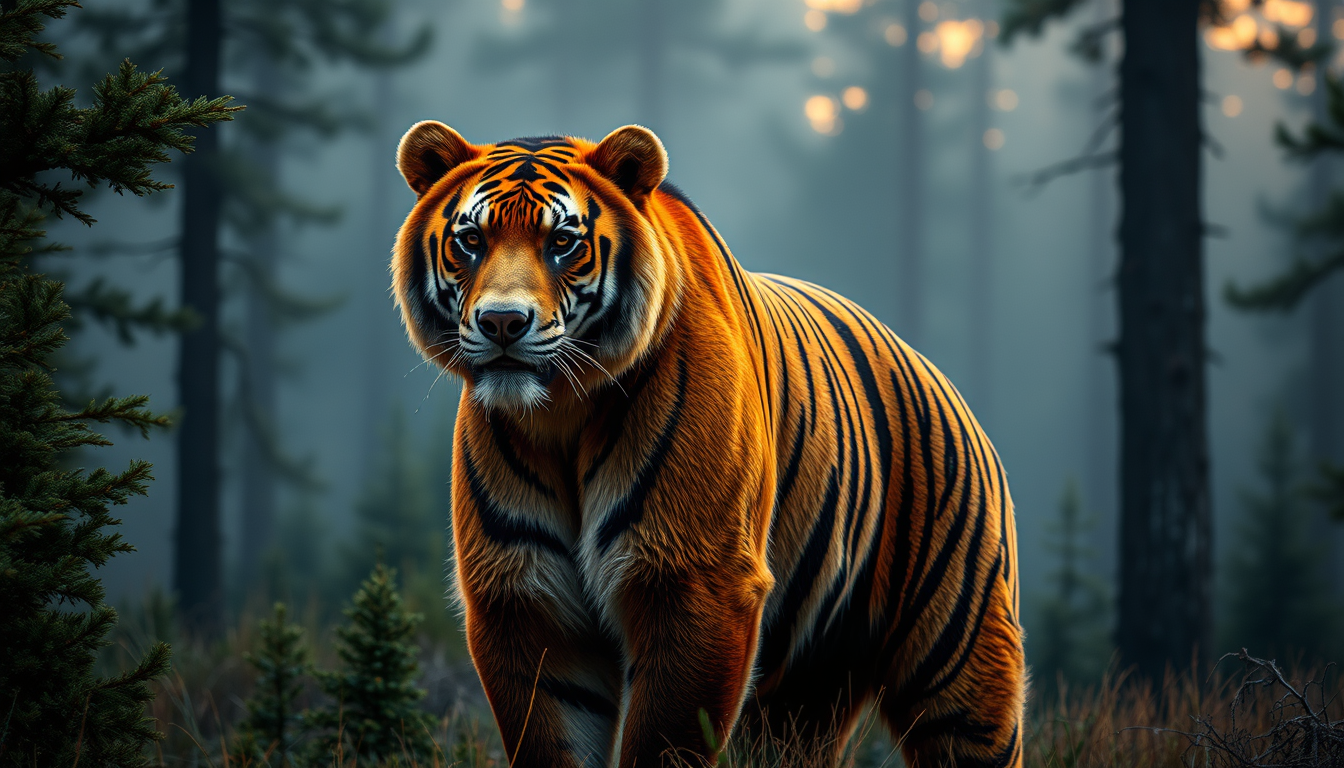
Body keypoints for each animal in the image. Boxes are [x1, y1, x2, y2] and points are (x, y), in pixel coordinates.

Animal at [390, 122, 1025, 768]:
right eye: (470, 241)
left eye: (563, 243)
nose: (502, 322)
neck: (561, 414)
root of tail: (940, 380)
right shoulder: (524, 593)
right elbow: (549, 736)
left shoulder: (695, 580)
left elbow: (665, 739)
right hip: (805, 689)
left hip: (956, 656)